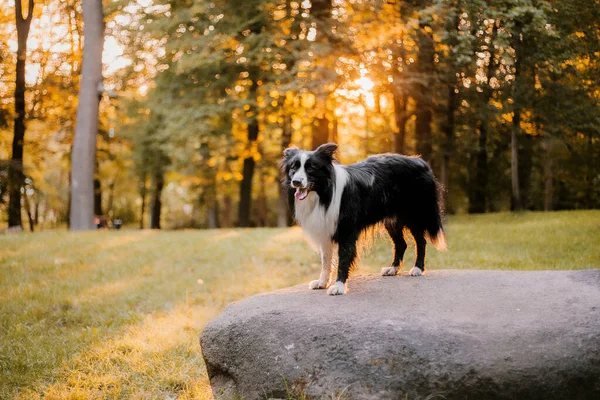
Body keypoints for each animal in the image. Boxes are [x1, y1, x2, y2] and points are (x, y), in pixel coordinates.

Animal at [282, 143, 446, 294]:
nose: (296, 182)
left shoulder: (346, 231)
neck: (324, 193)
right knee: (401, 244)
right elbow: (326, 261)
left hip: (414, 215)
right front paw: (322, 282)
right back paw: (393, 269)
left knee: (421, 241)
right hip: (392, 221)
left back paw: (418, 268)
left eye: (311, 168)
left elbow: (343, 259)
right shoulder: (326, 230)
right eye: (293, 168)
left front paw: (339, 286)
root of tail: (421, 162)